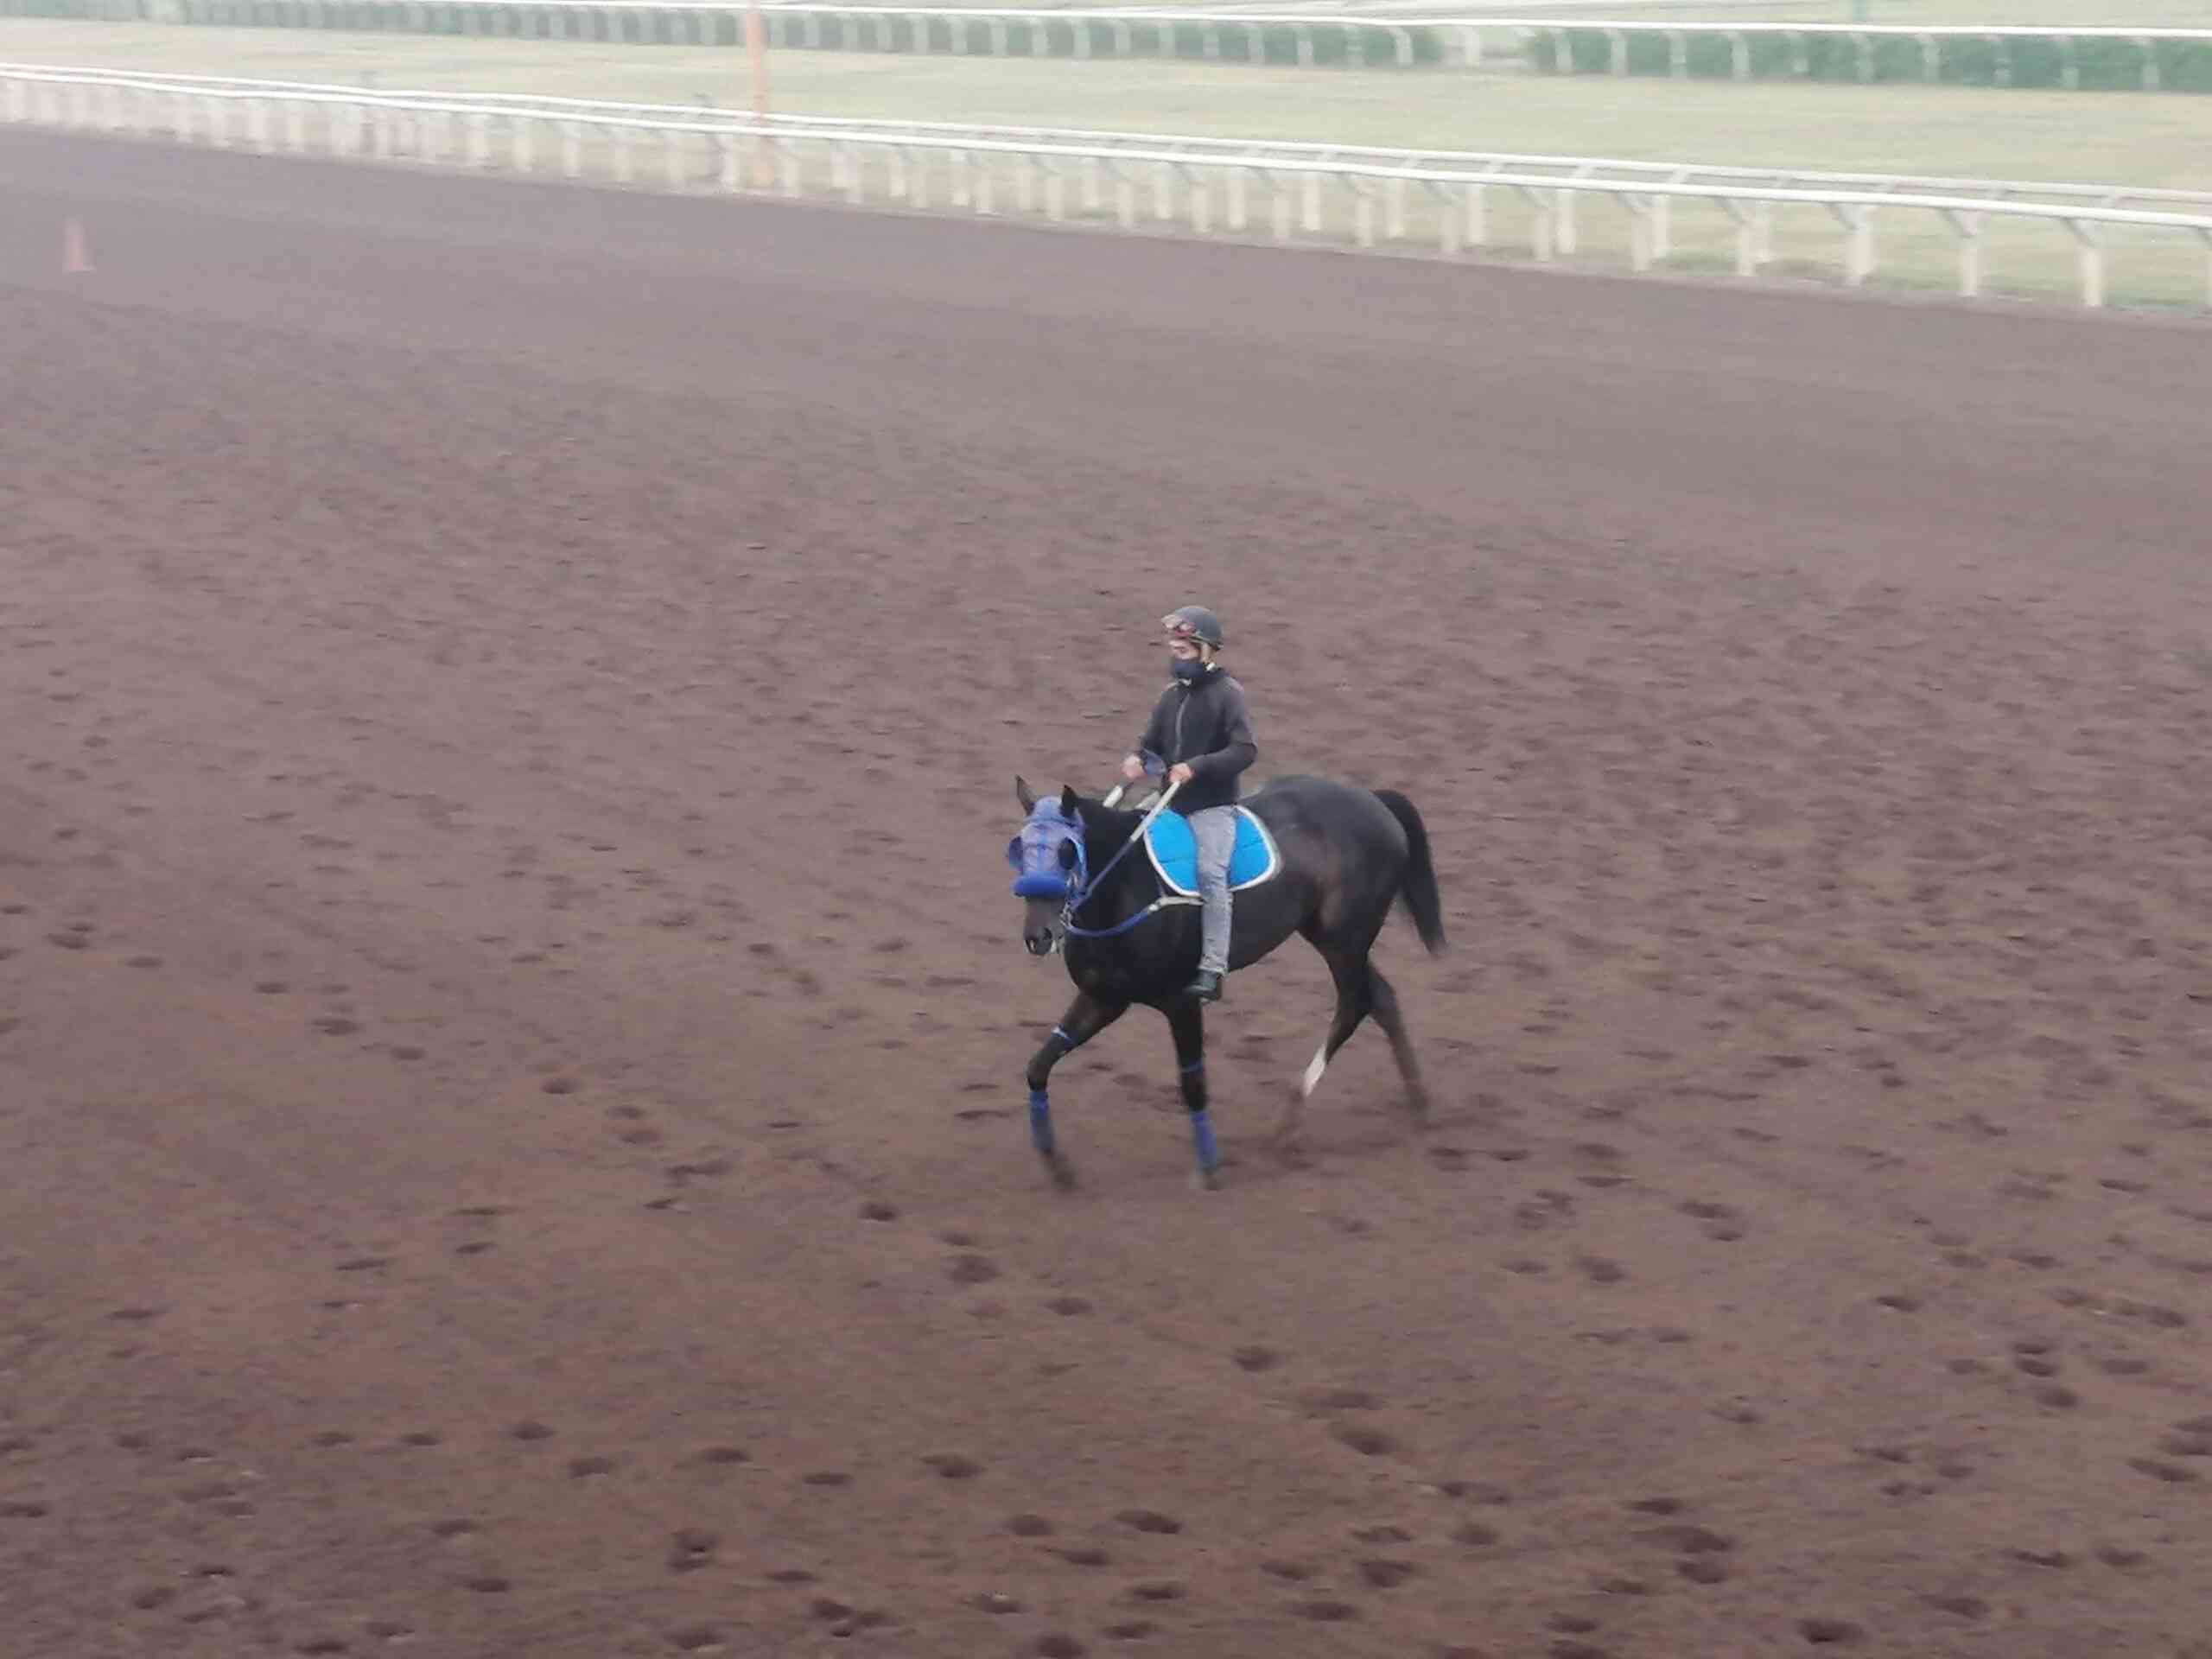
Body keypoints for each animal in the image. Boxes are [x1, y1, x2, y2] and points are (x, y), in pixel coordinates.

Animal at [1007, 772, 1446, 1189]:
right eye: (1020, 851)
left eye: (1067, 852)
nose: (1037, 936)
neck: (1125, 888)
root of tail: (1372, 799)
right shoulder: (1103, 998)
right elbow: (1038, 1066)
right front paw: (1057, 1165)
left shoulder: (1182, 1002)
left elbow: (1193, 1083)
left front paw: (1208, 1169)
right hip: (1331, 937)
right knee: (1382, 997)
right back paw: (1419, 1102)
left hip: (1345, 940)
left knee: (1356, 1004)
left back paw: (1289, 1119)